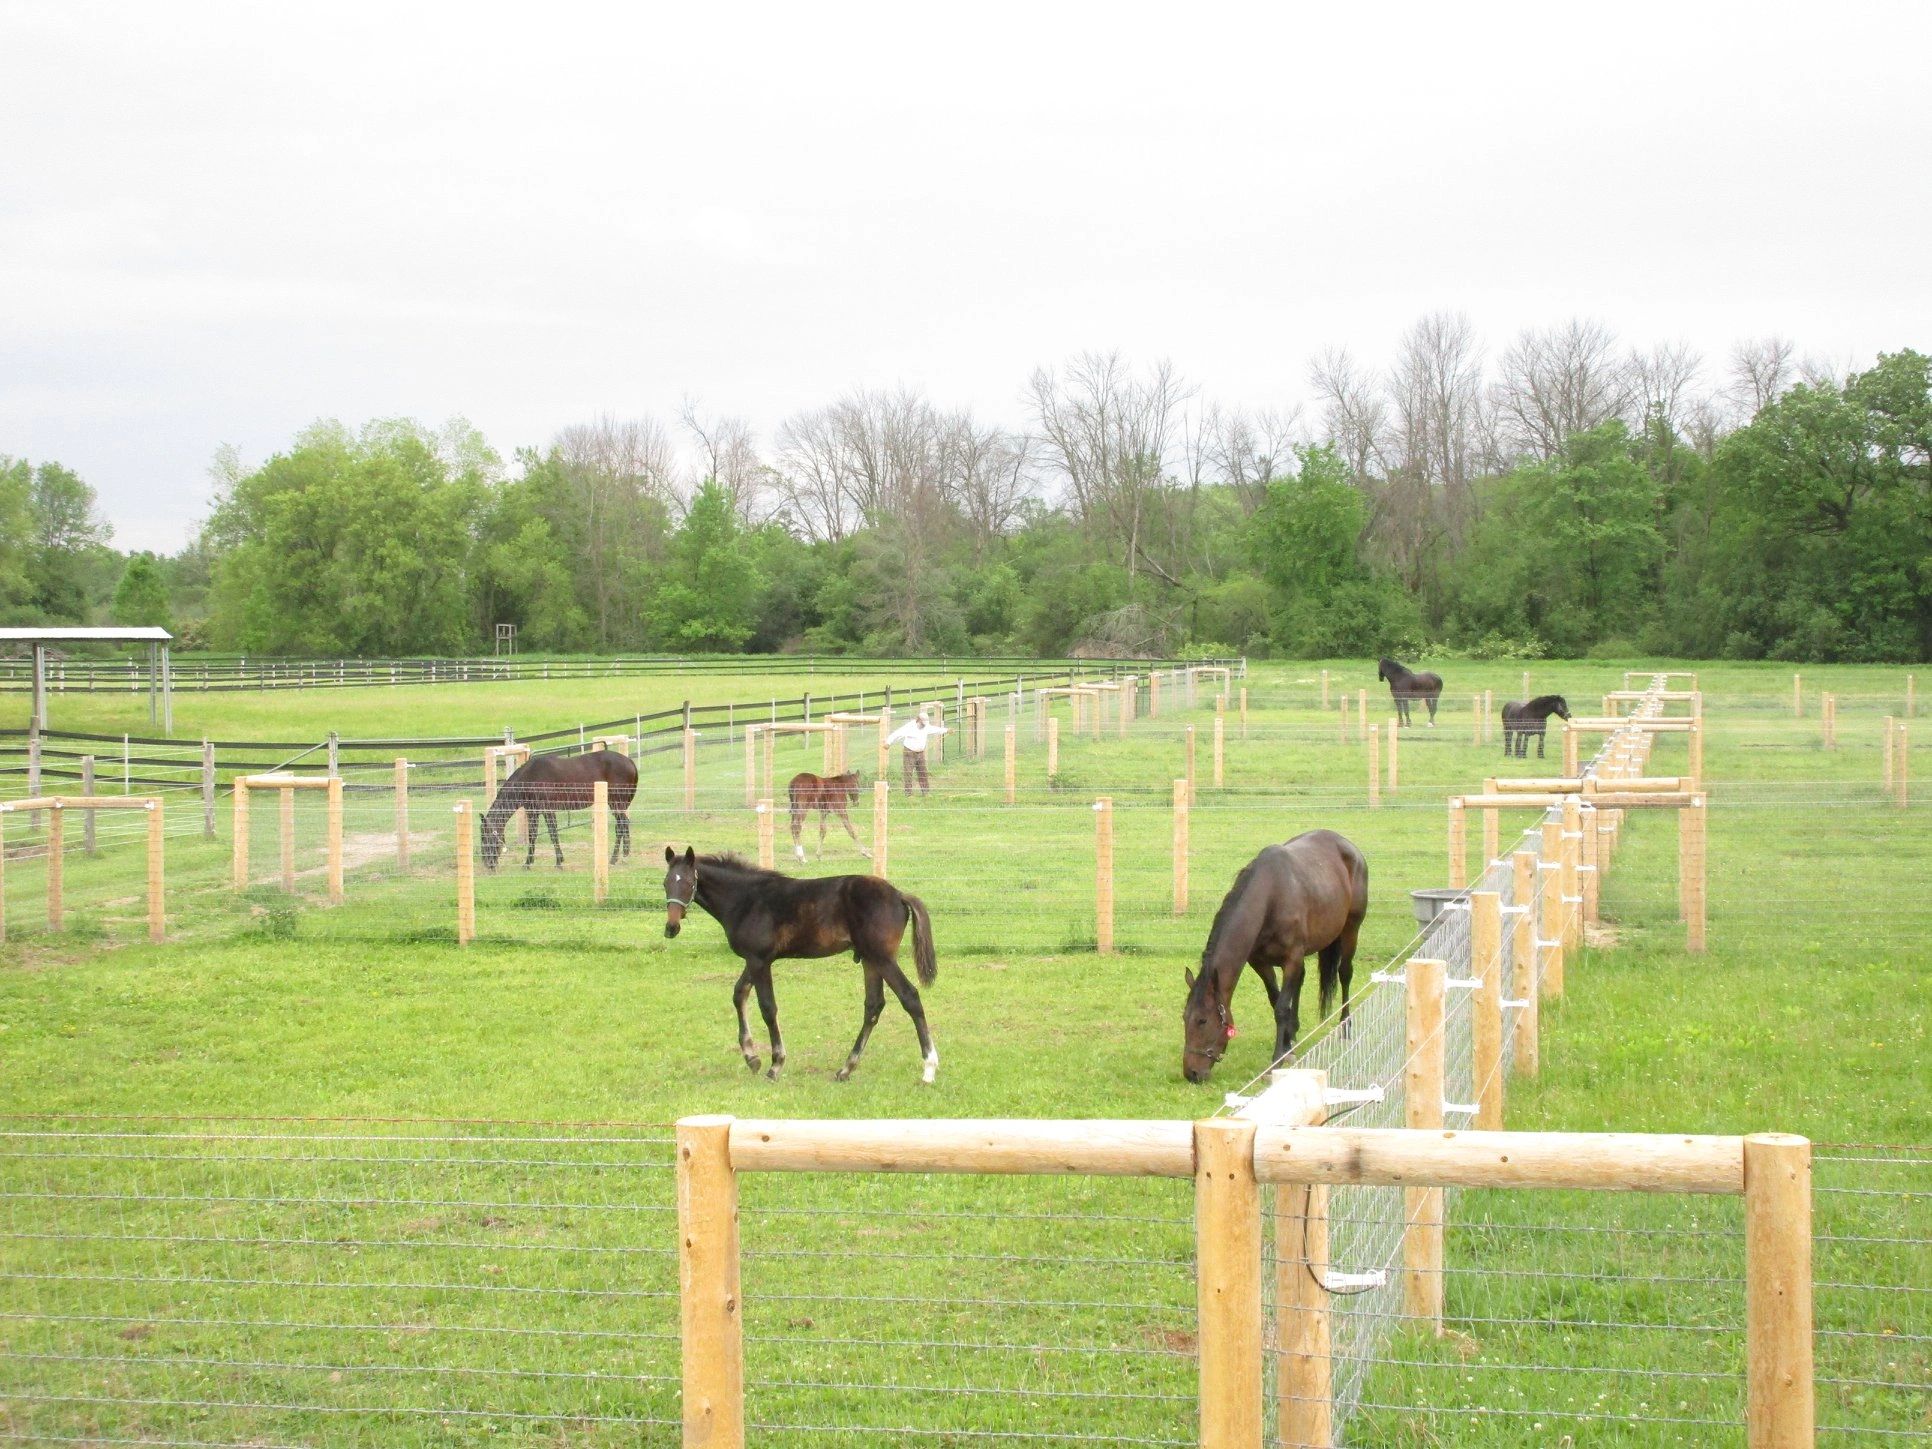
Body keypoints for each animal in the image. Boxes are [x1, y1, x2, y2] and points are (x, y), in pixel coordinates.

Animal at [481, 749, 636, 871]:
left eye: (486, 838)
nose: (488, 863)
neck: (529, 777)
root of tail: (630, 762)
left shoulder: (547, 810)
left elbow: (552, 833)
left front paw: (557, 862)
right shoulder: (532, 812)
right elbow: (533, 834)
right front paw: (530, 862)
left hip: (616, 803)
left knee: (622, 825)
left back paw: (614, 858)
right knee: (622, 825)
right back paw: (623, 856)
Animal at [661, 846, 939, 1083]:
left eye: (688, 883)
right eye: (665, 883)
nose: (671, 928)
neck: (747, 899)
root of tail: (899, 895)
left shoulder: (760, 960)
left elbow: (767, 1007)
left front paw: (775, 1064)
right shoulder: (755, 959)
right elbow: (739, 994)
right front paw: (752, 1058)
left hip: (882, 958)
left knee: (910, 997)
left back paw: (929, 1068)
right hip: (870, 960)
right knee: (873, 1006)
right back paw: (846, 1069)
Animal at [1180, 830, 1368, 1084]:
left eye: (1203, 1020)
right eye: (1184, 1017)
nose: (1191, 1073)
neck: (1271, 897)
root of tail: (1350, 847)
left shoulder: (1292, 958)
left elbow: (1280, 1008)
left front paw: (1278, 1058)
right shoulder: (1260, 962)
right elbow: (1276, 1000)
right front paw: (1288, 1046)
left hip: (1350, 930)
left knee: (1345, 974)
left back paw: (1345, 1027)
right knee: (1300, 981)